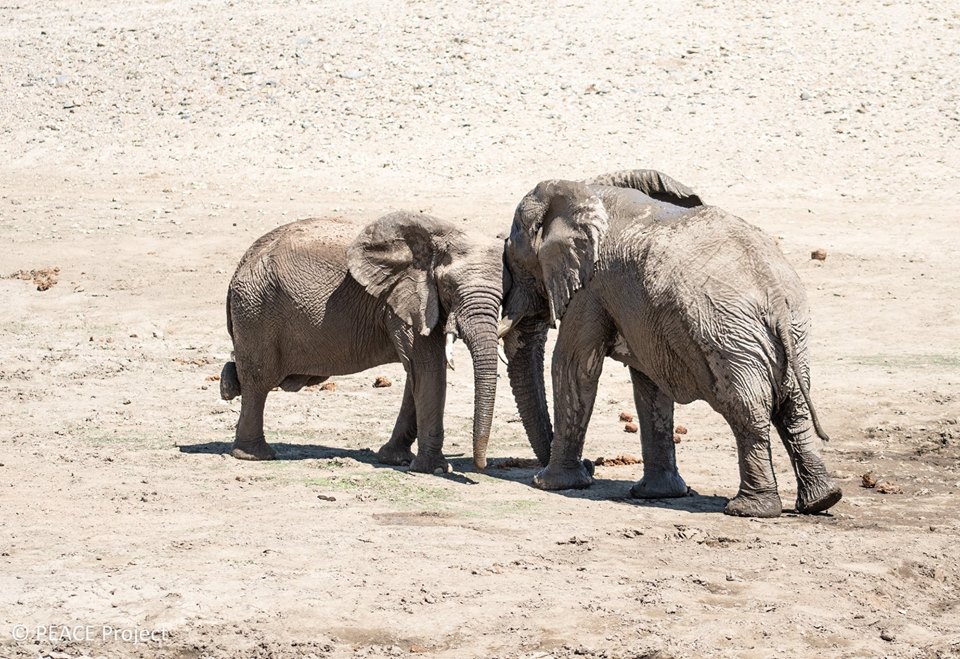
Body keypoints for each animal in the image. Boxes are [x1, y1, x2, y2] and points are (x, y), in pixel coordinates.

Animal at [218, 209, 502, 472]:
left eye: (505, 295)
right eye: (449, 287)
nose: (481, 465)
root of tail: (240, 265)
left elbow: (417, 374)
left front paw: (395, 459)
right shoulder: (405, 299)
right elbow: (428, 368)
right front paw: (435, 469)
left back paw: (227, 384)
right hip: (256, 310)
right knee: (258, 380)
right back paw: (254, 454)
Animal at [498, 171, 844, 520]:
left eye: (514, 259)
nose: (591, 465)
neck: (585, 188)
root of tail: (773, 296)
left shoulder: (591, 287)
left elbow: (574, 367)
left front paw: (550, 484)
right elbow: (650, 384)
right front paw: (655, 494)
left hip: (726, 333)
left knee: (747, 409)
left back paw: (749, 509)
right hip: (793, 330)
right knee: (794, 407)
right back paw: (822, 500)